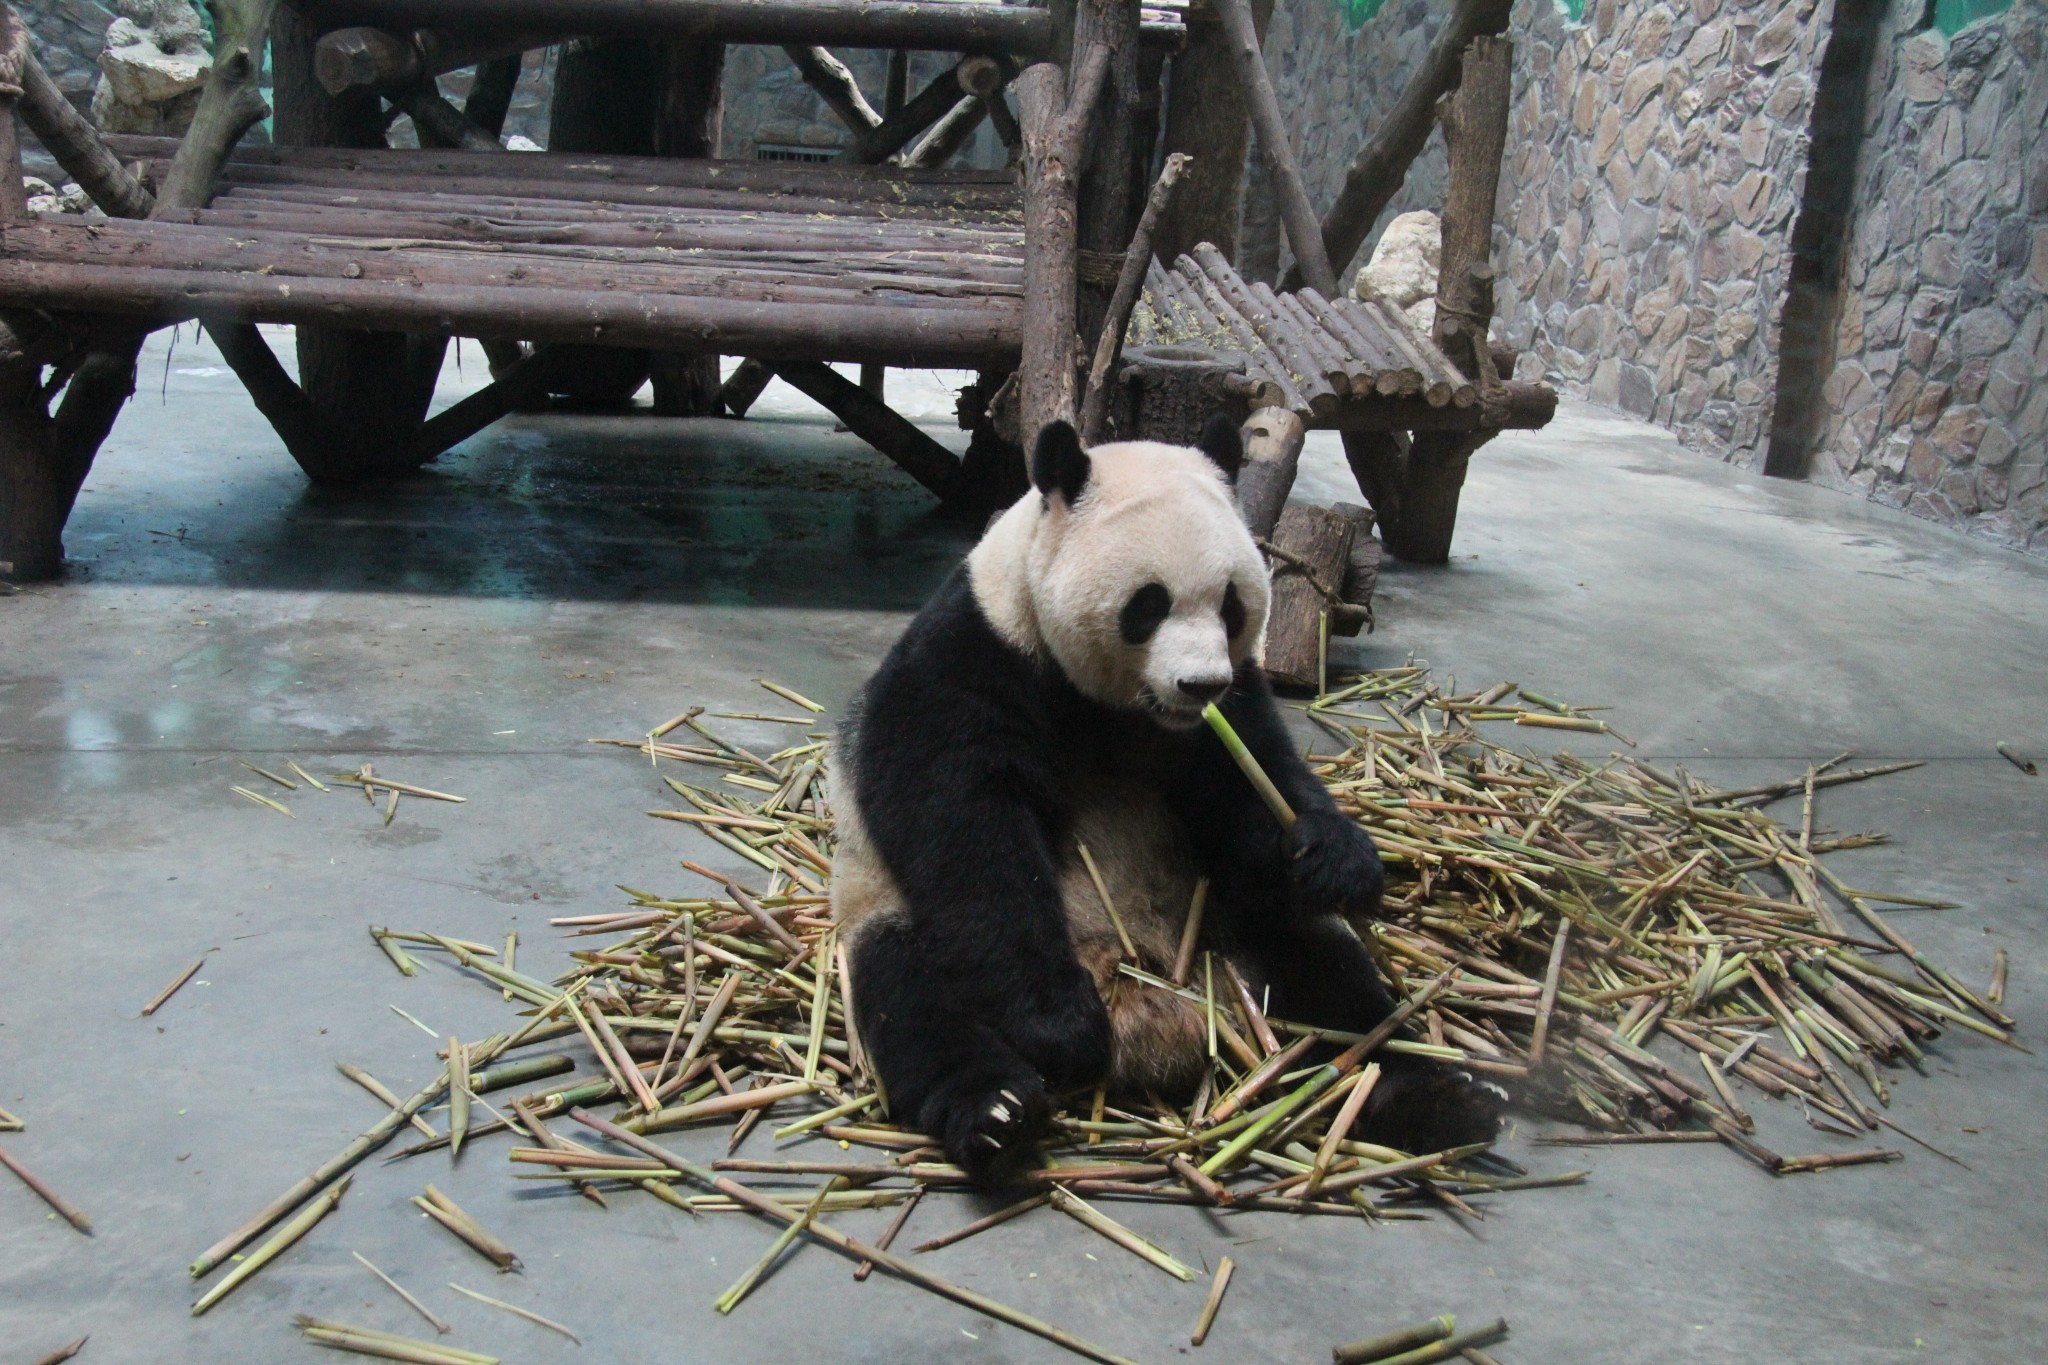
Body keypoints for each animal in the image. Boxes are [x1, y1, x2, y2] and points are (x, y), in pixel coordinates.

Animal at [830, 416, 1501, 1186]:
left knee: (1332, 980)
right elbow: (964, 828)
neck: (1117, 706)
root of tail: (1158, 1023)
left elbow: (1254, 783)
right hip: (888, 913)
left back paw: (1437, 1097)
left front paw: (1335, 856)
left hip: (1230, 920)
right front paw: (1059, 1026)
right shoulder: (974, 658)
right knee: (915, 998)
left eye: (1232, 604)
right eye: (1148, 604)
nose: (1200, 682)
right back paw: (999, 1110)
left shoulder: (1217, 718)